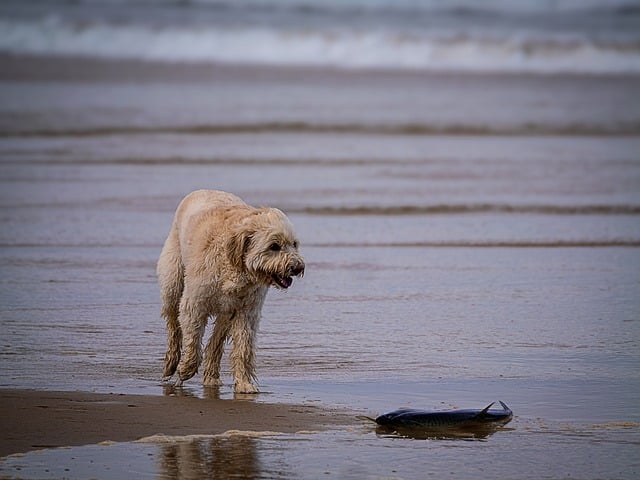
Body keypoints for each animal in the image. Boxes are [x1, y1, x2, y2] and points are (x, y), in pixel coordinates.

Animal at [156, 190, 304, 394]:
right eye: (274, 246)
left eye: (294, 244)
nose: (298, 267)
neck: (238, 268)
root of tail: (202, 190)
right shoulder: (194, 305)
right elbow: (192, 342)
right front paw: (185, 369)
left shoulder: (246, 312)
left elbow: (243, 349)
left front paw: (244, 384)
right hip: (173, 281)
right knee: (172, 322)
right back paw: (171, 364)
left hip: (227, 311)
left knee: (215, 342)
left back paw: (211, 377)